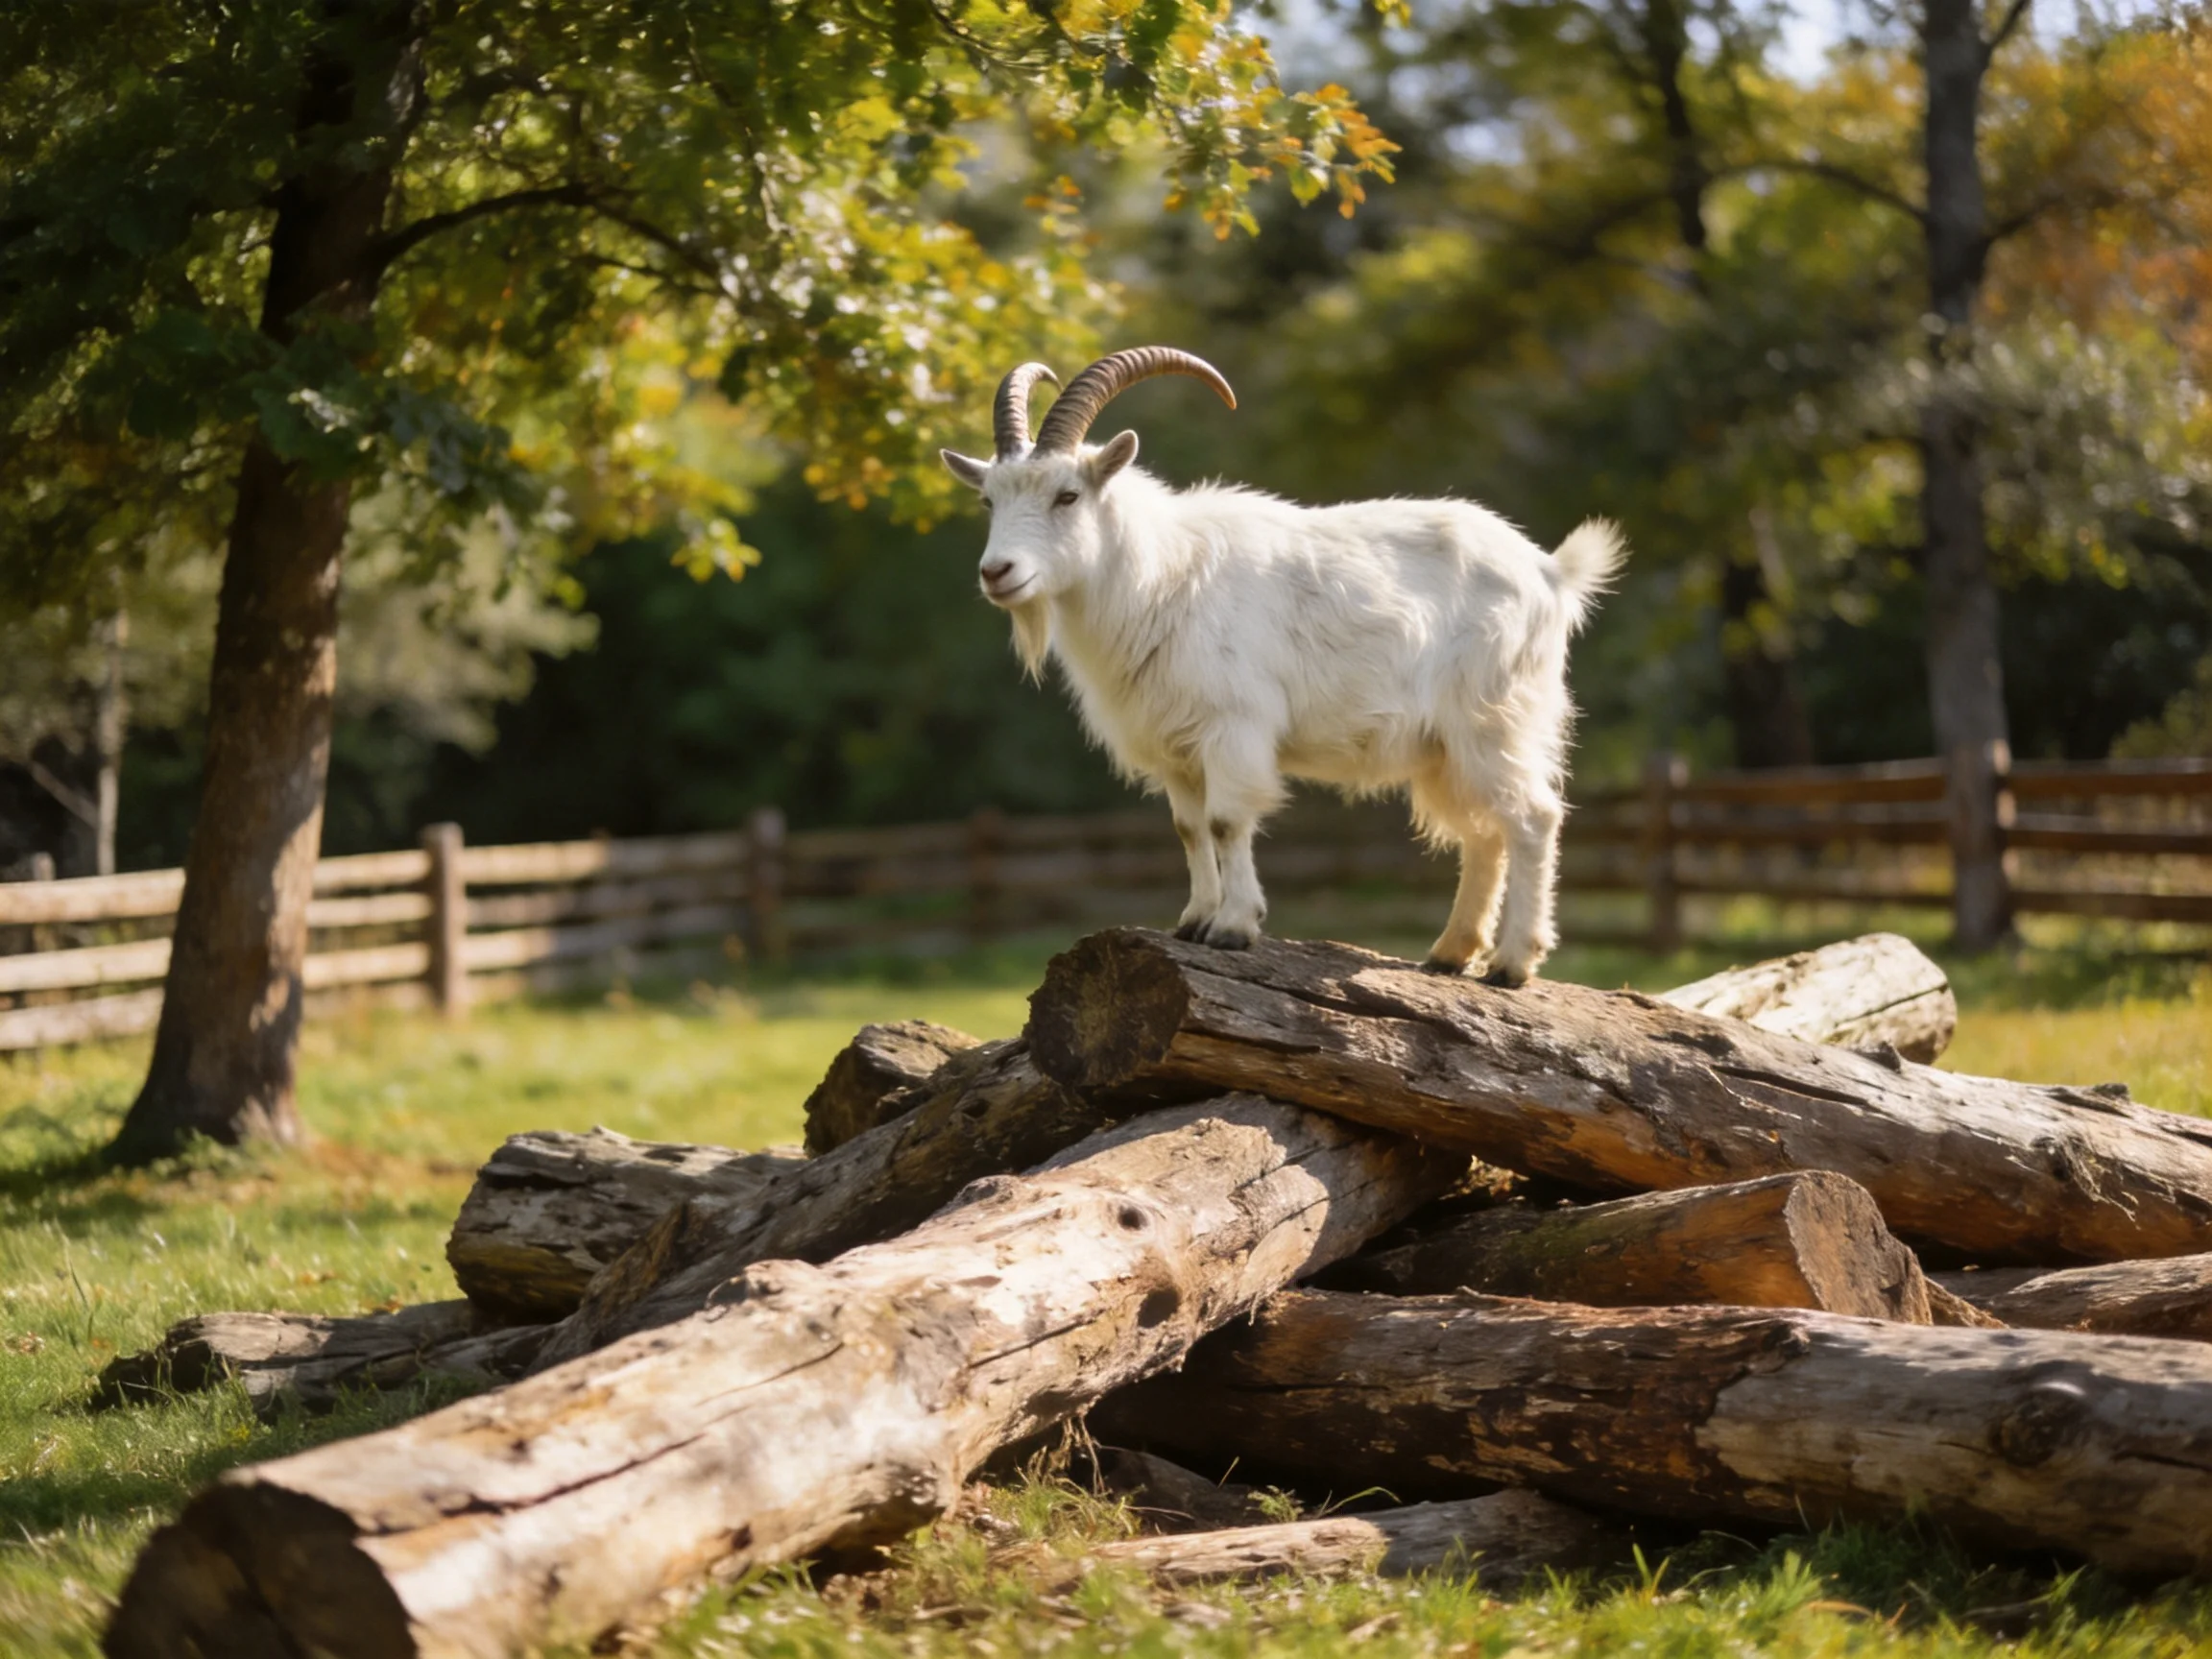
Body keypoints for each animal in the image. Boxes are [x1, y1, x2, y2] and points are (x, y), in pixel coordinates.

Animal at [941, 346, 1624, 985]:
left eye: (1068, 495)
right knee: (1484, 833)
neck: (1161, 575)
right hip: (1443, 749)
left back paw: (1511, 964)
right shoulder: (1175, 745)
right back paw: (1450, 953)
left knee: (1531, 818)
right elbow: (1189, 828)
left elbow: (1226, 821)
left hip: (1493, 719)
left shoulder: (1233, 726)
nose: (997, 573)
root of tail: (1550, 571)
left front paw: (1234, 929)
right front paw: (1193, 921)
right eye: (988, 500)